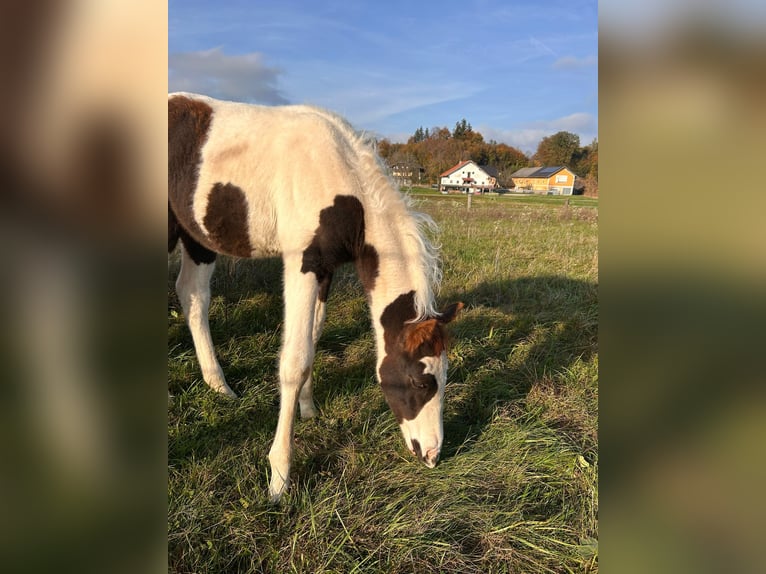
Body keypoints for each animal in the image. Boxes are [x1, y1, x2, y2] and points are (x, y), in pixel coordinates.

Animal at [168, 92, 462, 502]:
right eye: (421, 382)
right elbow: (294, 360)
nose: (433, 454)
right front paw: (279, 475)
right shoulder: (301, 263)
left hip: (197, 237)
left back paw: (219, 385)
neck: (341, 181)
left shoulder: (326, 268)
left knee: (193, 295)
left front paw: (308, 409)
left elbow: (314, 336)